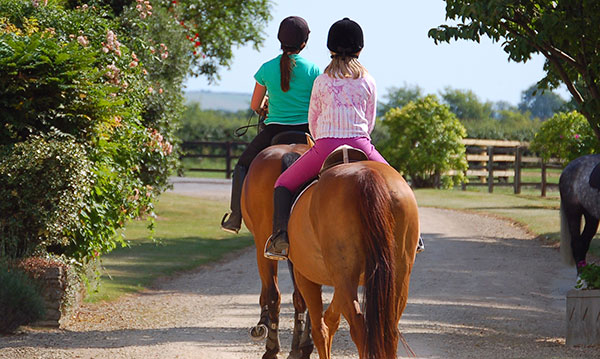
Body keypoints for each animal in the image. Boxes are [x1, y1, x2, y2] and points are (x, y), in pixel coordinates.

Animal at [288, 162, 420, 358]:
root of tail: (367, 174)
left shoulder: (305, 276)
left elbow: (320, 330)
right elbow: (331, 318)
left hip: (342, 277)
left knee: (359, 330)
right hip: (399, 276)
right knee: (389, 332)